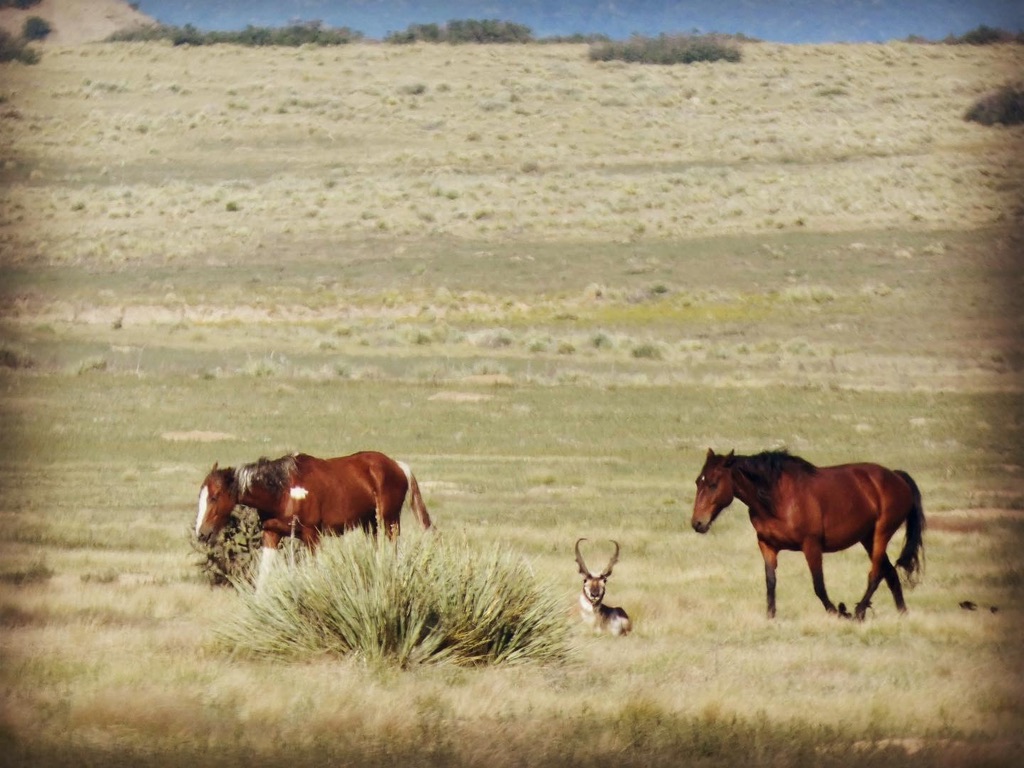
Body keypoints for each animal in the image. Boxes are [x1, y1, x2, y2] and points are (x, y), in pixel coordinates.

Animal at [195, 450, 432, 589]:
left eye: (215, 496)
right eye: (201, 496)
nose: (202, 533)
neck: (283, 491)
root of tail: (398, 465)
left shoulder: (312, 537)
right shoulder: (271, 534)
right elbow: (263, 577)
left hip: (389, 522)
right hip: (370, 525)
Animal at [692, 448, 925, 622]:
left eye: (713, 484)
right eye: (698, 481)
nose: (697, 523)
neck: (777, 497)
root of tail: (896, 476)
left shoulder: (811, 545)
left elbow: (819, 586)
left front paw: (838, 612)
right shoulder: (767, 545)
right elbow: (770, 582)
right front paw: (770, 617)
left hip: (881, 534)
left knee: (876, 574)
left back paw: (858, 612)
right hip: (867, 538)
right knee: (890, 574)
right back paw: (902, 614)